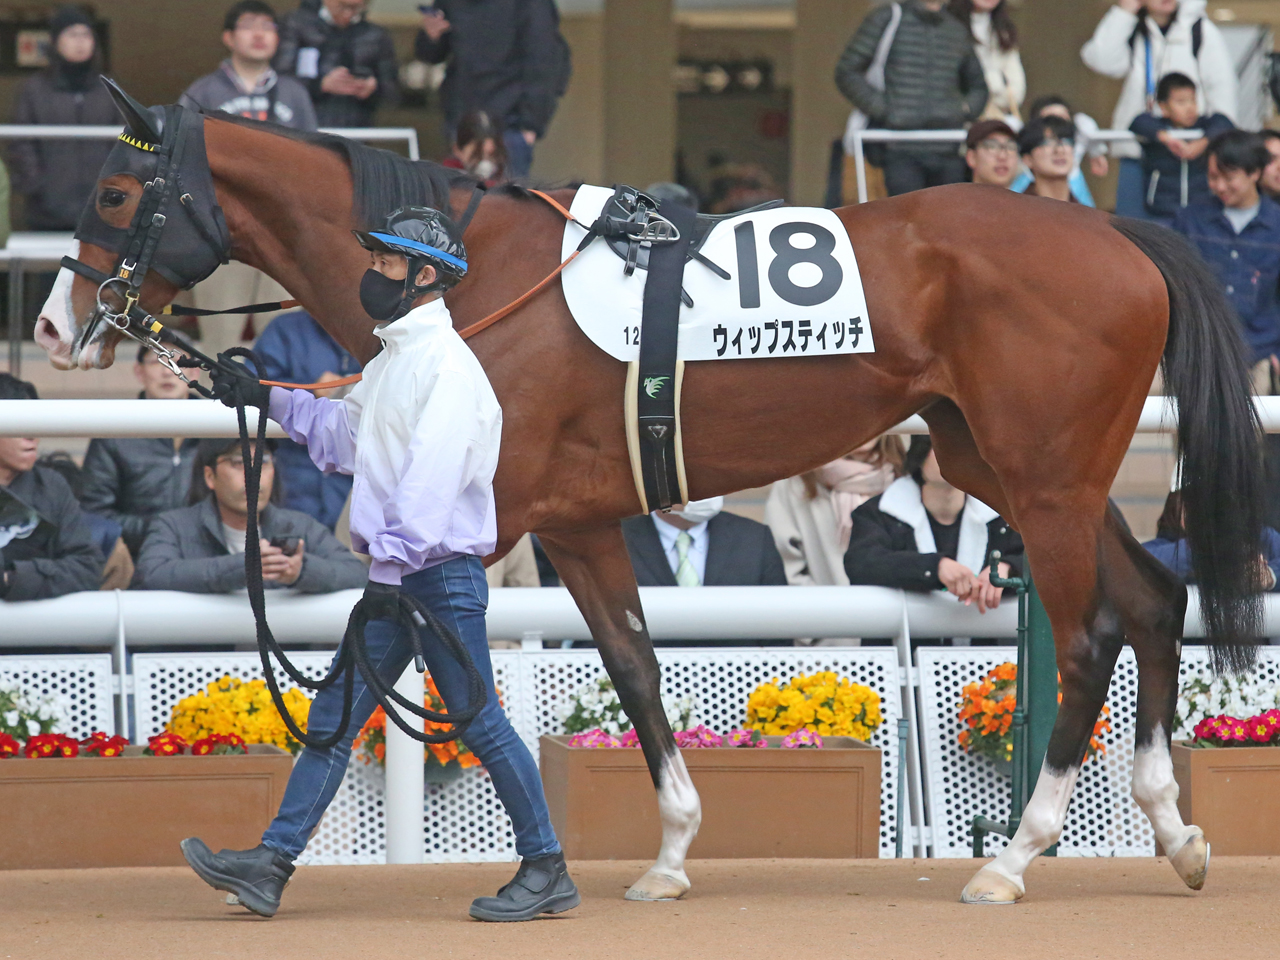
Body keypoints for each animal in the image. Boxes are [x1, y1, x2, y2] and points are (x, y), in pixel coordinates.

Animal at [37, 86, 1264, 905]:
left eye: (114, 189)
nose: (52, 326)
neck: (474, 283)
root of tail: (1118, 230)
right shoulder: (576, 527)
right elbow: (630, 668)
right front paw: (668, 855)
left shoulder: (478, 524)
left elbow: (388, 660)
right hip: (1009, 467)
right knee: (1153, 600)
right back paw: (1174, 833)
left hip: (1045, 480)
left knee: (1092, 629)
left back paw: (1012, 858)